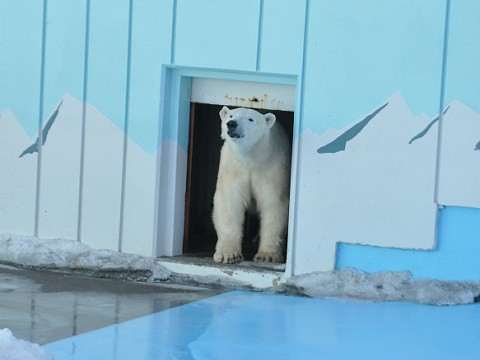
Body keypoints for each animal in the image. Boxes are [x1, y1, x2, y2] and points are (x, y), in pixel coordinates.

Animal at [213, 105, 288, 262]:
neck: (250, 157)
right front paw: (228, 254)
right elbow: (230, 202)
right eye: (231, 115)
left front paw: (267, 255)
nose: (232, 124)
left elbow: (274, 203)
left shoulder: (271, 166)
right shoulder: (233, 166)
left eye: (251, 119)